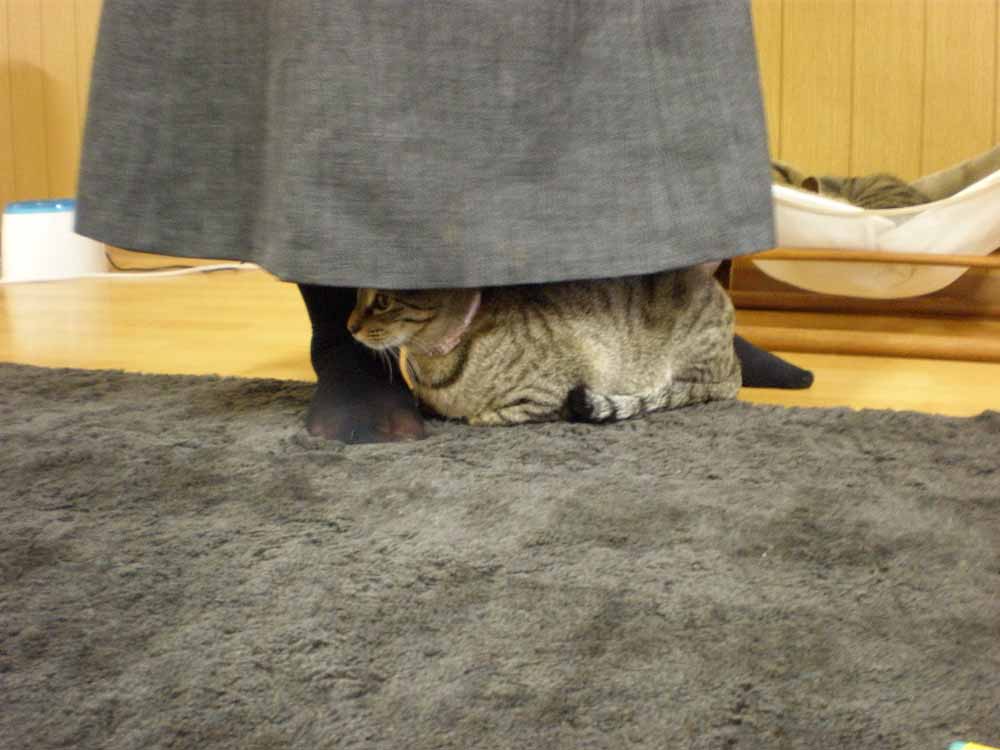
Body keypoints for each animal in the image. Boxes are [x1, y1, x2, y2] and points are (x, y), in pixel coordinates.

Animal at [347, 266, 812, 426]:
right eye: (354, 295)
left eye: (382, 302)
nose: (349, 327)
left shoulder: (548, 390)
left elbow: (491, 416)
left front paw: (475, 415)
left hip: (691, 369)